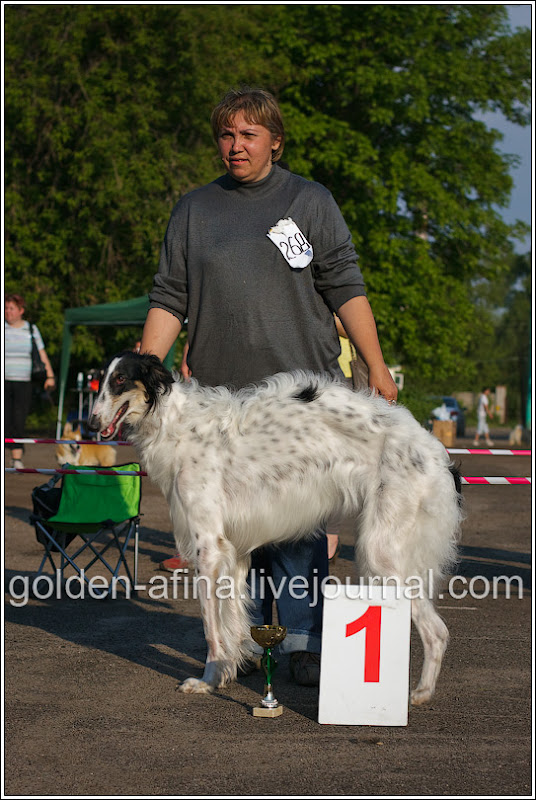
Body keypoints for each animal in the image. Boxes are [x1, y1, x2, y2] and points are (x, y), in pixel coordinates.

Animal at [90, 354, 462, 704]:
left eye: (120, 380)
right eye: (100, 379)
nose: (92, 422)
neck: (176, 424)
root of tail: (434, 451)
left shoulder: (208, 547)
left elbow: (212, 627)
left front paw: (207, 680)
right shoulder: (233, 553)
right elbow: (233, 621)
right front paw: (228, 671)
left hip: (381, 552)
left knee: (438, 631)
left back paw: (420, 693)